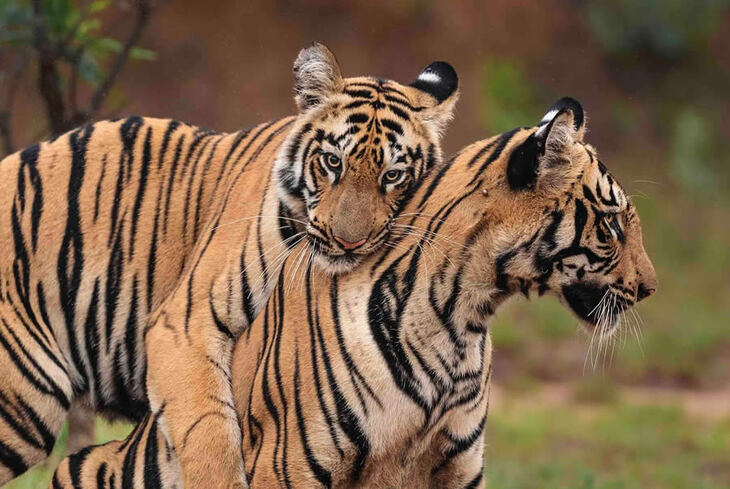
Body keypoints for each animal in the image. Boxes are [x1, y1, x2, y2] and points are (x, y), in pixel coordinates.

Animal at [0, 43, 456, 488]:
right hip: (23, 399)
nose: (349, 240)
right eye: (332, 162)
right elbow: (209, 433)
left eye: (393, 176)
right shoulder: (182, 325)